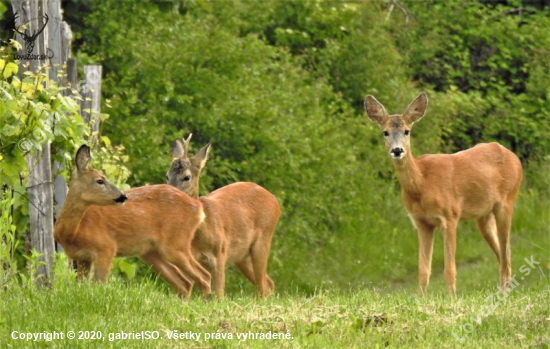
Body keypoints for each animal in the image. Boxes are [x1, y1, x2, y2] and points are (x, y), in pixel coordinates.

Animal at [54, 144, 212, 300]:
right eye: (100, 180)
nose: (122, 196)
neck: (73, 232)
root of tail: (198, 208)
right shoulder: (82, 258)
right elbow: (81, 285)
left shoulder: (106, 247)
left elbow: (99, 283)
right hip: (152, 252)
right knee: (184, 282)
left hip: (176, 243)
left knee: (204, 275)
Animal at [166, 133, 280, 296]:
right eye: (167, 176)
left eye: (186, 177)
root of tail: (274, 200)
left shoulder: (219, 253)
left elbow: (219, 294)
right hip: (242, 256)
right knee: (268, 284)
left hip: (263, 239)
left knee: (262, 287)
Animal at [366, 93, 528, 296]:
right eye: (385, 132)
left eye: (407, 131)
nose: (397, 150)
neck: (422, 185)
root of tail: (514, 157)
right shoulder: (422, 223)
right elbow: (423, 270)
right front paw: (421, 299)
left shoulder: (450, 216)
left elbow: (449, 269)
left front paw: (453, 299)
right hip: (484, 216)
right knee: (502, 254)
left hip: (507, 201)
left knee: (506, 252)